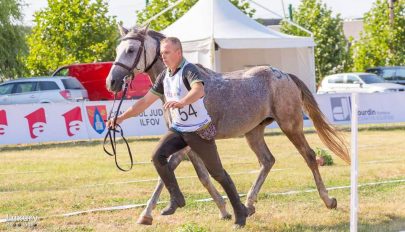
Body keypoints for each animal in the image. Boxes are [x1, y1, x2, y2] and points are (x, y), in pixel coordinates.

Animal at [105, 25, 348, 225]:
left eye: (130, 50)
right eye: (118, 49)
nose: (112, 82)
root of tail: (285, 75)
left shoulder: (188, 141)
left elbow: (170, 168)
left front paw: (146, 214)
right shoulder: (187, 142)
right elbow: (201, 175)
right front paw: (224, 210)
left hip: (290, 125)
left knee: (309, 156)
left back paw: (328, 200)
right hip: (253, 132)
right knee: (267, 160)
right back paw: (248, 205)